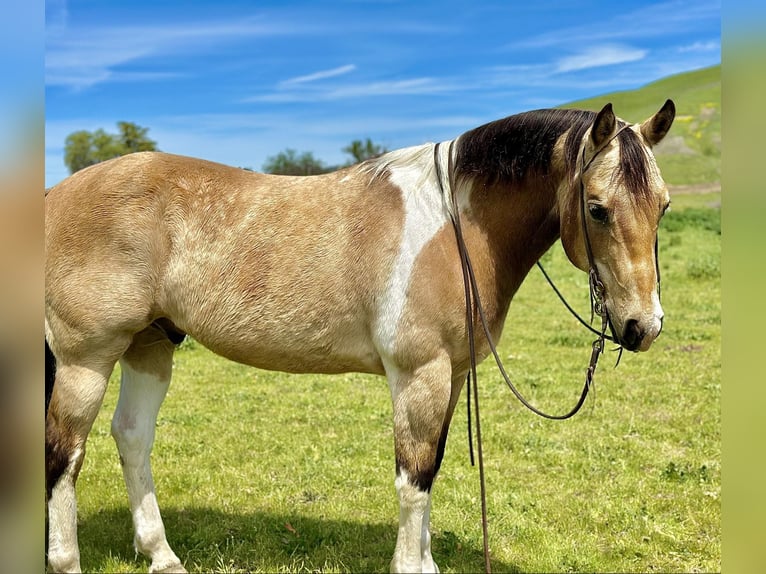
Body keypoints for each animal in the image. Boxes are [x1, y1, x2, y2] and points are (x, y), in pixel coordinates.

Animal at [45, 101, 676, 572]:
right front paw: (411, 566)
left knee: (131, 437)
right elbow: (414, 479)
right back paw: (67, 559)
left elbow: (433, 467)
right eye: (597, 208)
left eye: (664, 205)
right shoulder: (420, 375)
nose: (642, 326)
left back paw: (162, 555)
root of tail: (56, 195)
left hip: (150, 345)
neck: (454, 226)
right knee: (64, 455)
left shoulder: (451, 376)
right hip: (86, 360)